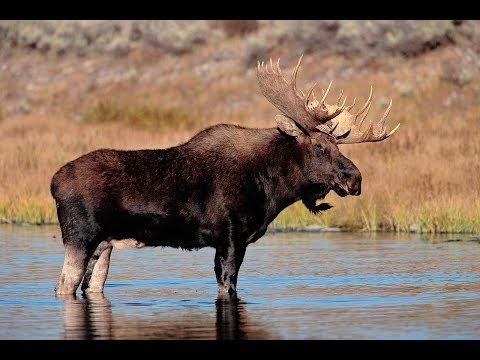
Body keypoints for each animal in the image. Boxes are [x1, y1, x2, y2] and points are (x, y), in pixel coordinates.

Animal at [51, 55, 398, 296]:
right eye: (319, 146)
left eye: (337, 144)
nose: (355, 179)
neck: (271, 188)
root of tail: (53, 182)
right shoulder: (230, 237)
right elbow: (227, 285)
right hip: (80, 236)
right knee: (64, 284)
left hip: (104, 245)